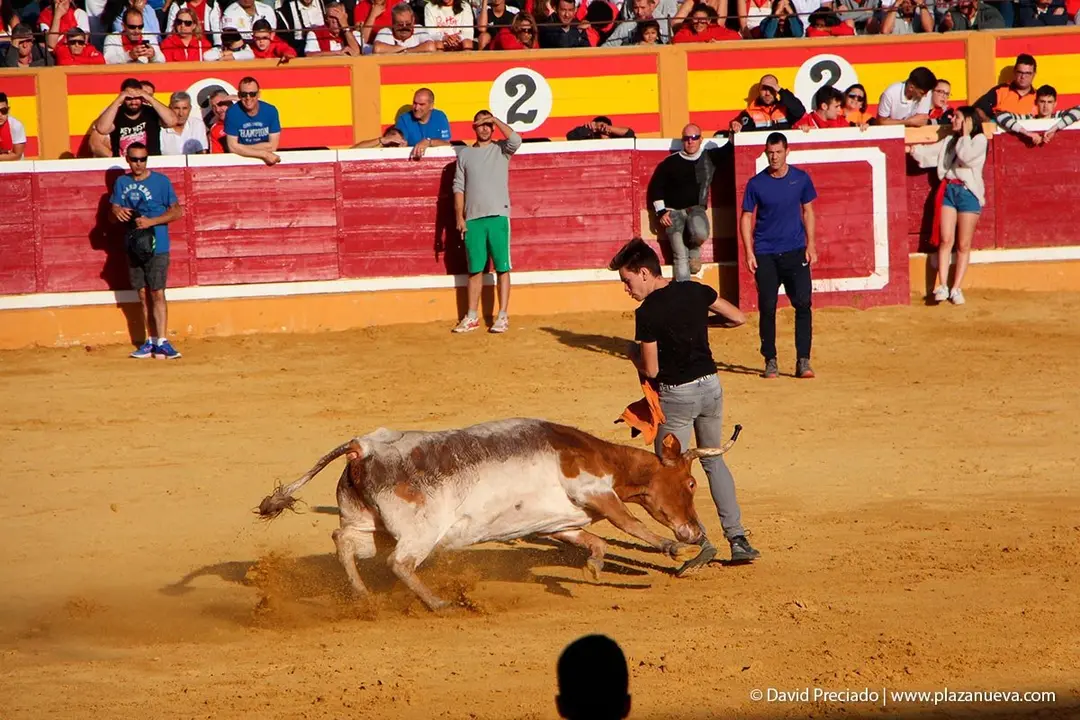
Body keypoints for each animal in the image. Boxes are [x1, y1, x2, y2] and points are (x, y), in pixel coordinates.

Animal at [257, 418, 741, 611]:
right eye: (691, 483)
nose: (696, 531)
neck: (607, 459)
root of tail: (364, 446)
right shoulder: (595, 491)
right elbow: (630, 522)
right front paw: (671, 546)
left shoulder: (559, 523)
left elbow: (594, 539)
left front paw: (593, 568)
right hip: (420, 531)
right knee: (400, 563)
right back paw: (439, 603)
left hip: (369, 525)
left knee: (344, 543)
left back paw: (362, 597)